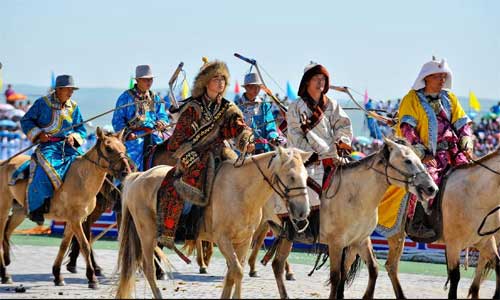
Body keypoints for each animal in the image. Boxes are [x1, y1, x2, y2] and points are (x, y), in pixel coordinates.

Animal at [0, 128, 131, 288]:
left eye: (124, 148)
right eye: (109, 148)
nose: (126, 171)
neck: (81, 178)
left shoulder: (73, 220)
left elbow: (64, 245)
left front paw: (57, 275)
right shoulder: (76, 220)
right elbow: (85, 245)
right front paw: (92, 278)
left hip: (19, 211)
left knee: (6, 232)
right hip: (3, 208)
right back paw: (5, 274)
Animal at [116, 147, 312, 298]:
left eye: (306, 176)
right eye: (291, 176)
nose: (303, 212)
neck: (240, 191)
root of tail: (138, 176)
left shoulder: (244, 240)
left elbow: (233, 273)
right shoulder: (223, 239)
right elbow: (237, 271)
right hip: (146, 235)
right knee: (148, 269)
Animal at [266, 139, 438, 298]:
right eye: (408, 160)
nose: (431, 188)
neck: (356, 195)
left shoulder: (359, 240)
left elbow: (371, 269)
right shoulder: (336, 243)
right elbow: (336, 276)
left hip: (285, 235)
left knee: (277, 265)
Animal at [384, 149, 500, 298]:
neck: (475, 193)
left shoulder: (484, 241)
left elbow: (497, 265)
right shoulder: (453, 244)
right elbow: (455, 276)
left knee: (391, 266)